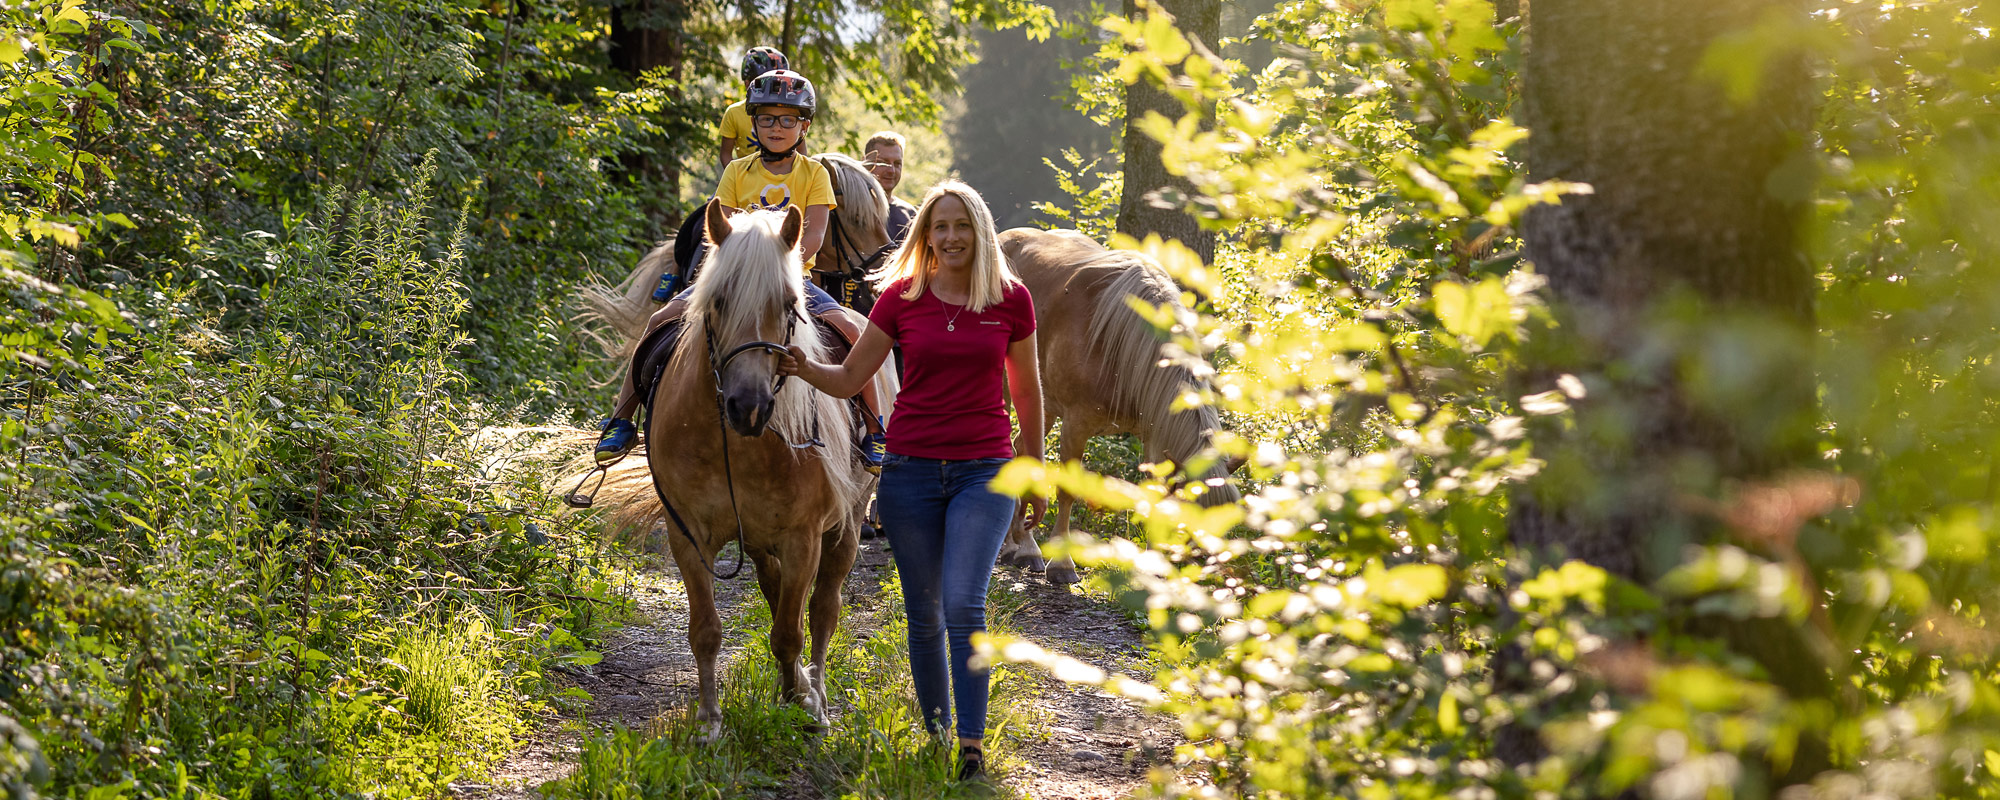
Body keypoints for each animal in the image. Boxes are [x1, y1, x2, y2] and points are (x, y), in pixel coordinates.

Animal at [572, 203, 868, 740]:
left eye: (789, 304)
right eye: (718, 300)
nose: (748, 406)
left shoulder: (803, 537)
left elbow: (791, 631)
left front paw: (802, 705)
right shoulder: (688, 532)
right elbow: (707, 631)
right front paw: (710, 721)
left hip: (848, 524)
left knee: (823, 608)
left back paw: (815, 694)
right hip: (761, 538)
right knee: (775, 591)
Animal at [992, 228, 1240, 584]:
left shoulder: (1152, 433)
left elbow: (1153, 491)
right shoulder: (1076, 423)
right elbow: (1067, 491)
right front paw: (1063, 564)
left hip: (1044, 403)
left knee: (1022, 448)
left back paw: (1021, 546)